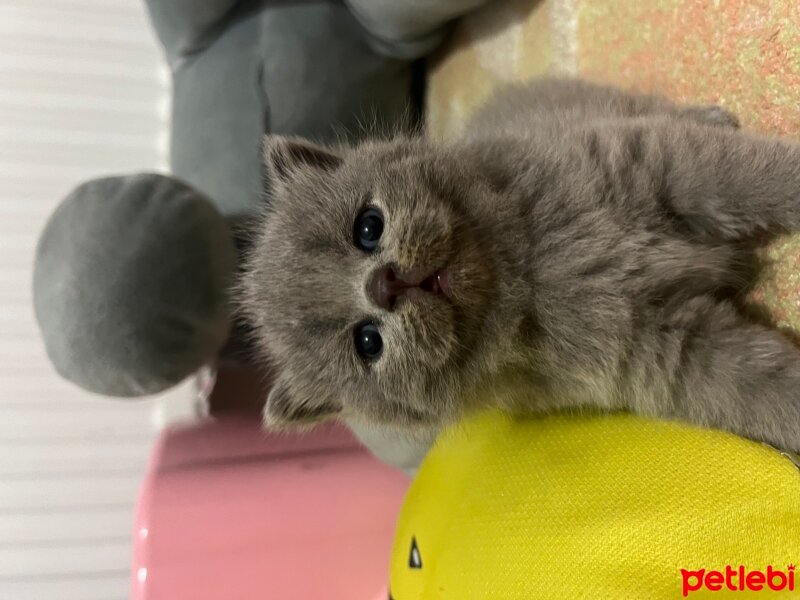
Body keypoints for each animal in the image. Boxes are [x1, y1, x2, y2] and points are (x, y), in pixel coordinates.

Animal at [241, 81, 800, 454]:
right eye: (366, 342)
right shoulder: (662, 350)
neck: (526, 269)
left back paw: (709, 114)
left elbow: (753, 174)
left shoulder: (655, 160)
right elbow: (765, 388)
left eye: (367, 227)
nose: (385, 283)